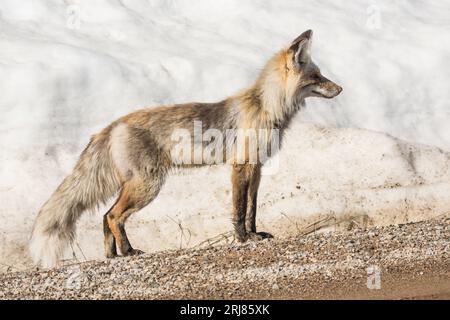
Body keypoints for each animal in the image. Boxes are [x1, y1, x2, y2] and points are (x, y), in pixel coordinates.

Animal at [30, 30, 342, 266]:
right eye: (317, 77)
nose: (340, 89)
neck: (267, 108)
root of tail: (112, 125)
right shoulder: (240, 166)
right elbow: (239, 209)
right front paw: (242, 239)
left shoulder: (257, 167)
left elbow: (252, 209)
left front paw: (255, 235)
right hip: (148, 185)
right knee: (114, 216)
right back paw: (128, 251)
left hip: (134, 185)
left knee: (106, 217)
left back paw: (112, 255)